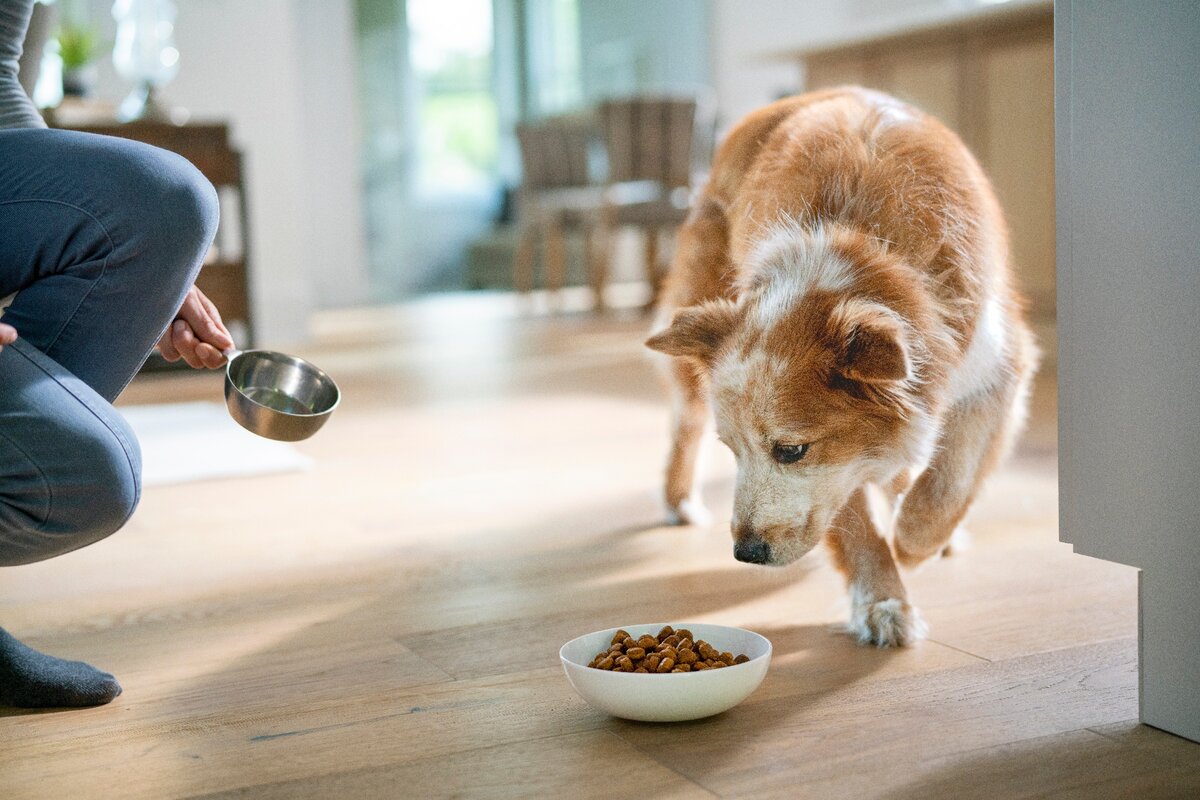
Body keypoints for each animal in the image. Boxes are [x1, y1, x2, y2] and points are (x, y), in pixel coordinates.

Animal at [648, 87, 1032, 647]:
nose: (746, 553)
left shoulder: (996, 368)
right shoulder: (841, 461)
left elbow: (948, 482)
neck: (862, 258)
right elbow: (853, 515)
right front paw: (883, 601)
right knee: (685, 422)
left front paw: (913, 542)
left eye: (790, 451)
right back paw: (678, 502)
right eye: (733, 449)